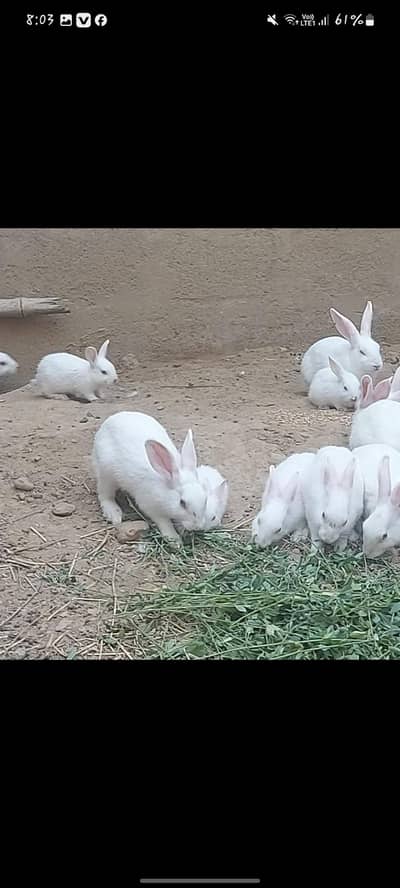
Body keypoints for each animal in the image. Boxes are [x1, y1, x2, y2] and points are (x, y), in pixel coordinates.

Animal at [92, 411, 208, 543]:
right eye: (182, 503)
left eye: (205, 499)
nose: (198, 526)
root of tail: (108, 422)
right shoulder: (150, 507)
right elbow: (164, 522)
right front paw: (174, 540)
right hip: (106, 473)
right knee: (105, 494)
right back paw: (114, 514)